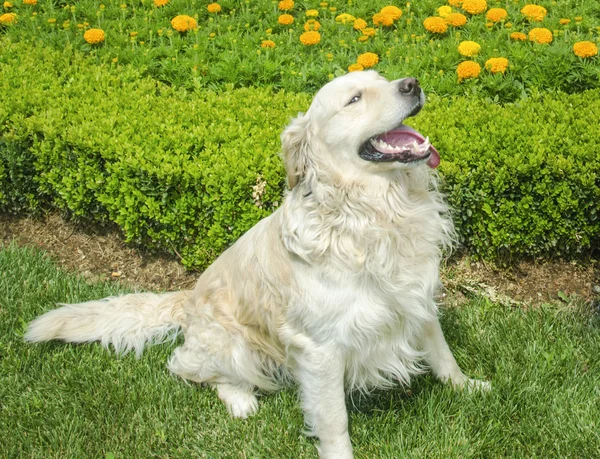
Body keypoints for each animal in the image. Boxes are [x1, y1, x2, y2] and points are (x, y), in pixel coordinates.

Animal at [25, 70, 490, 458]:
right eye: (355, 98)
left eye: (384, 77)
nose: (411, 84)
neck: (377, 212)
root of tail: (187, 297)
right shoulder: (320, 348)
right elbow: (334, 420)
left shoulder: (415, 297)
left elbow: (442, 353)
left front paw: (468, 387)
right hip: (231, 343)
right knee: (187, 367)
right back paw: (241, 399)